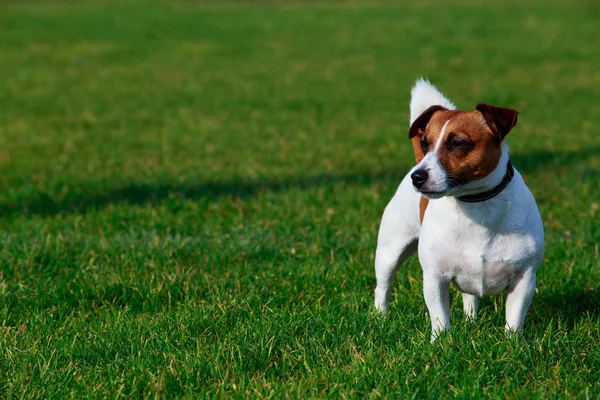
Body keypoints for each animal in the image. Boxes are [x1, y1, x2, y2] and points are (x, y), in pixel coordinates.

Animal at [378, 80, 548, 340]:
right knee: (383, 286)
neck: (476, 203)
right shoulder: (434, 278)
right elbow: (439, 317)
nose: (416, 177)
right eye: (425, 143)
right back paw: (379, 317)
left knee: (469, 296)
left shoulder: (525, 278)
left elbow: (515, 319)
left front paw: (513, 343)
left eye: (457, 143)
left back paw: (471, 320)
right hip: (390, 250)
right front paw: (440, 342)